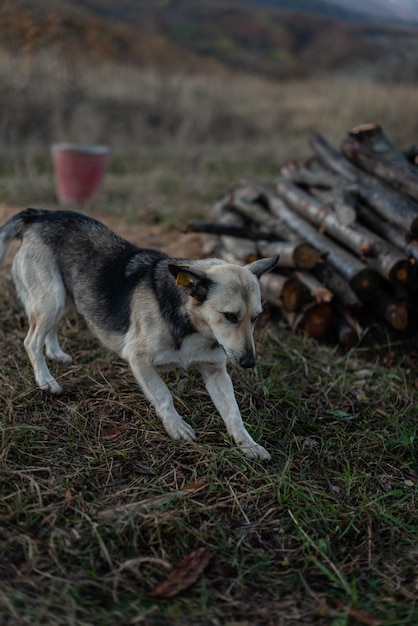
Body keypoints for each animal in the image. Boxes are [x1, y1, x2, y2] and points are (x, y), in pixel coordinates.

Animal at [0, 210, 280, 458]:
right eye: (230, 316)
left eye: (256, 317)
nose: (249, 363)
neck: (191, 324)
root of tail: (38, 215)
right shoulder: (138, 358)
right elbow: (163, 395)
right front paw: (176, 426)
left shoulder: (215, 372)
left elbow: (233, 413)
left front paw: (248, 444)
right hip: (52, 298)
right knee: (31, 341)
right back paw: (45, 380)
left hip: (67, 298)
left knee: (48, 331)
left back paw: (56, 354)